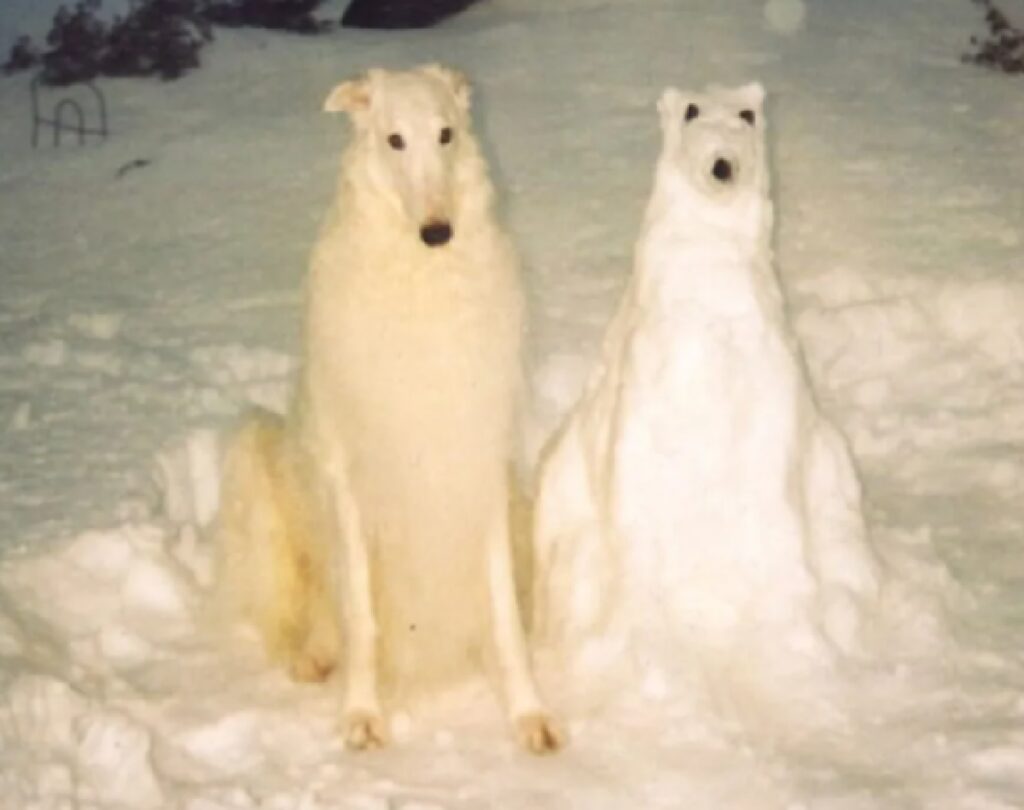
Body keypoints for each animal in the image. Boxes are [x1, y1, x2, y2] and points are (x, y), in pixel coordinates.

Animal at [215, 65, 561, 753]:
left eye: (446, 134)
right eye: (394, 139)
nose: (438, 233)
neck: (419, 287)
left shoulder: (477, 463)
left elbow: (504, 615)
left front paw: (527, 714)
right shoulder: (349, 479)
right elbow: (364, 618)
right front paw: (362, 714)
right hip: (253, 452)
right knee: (294, 619)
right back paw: (313, 655)